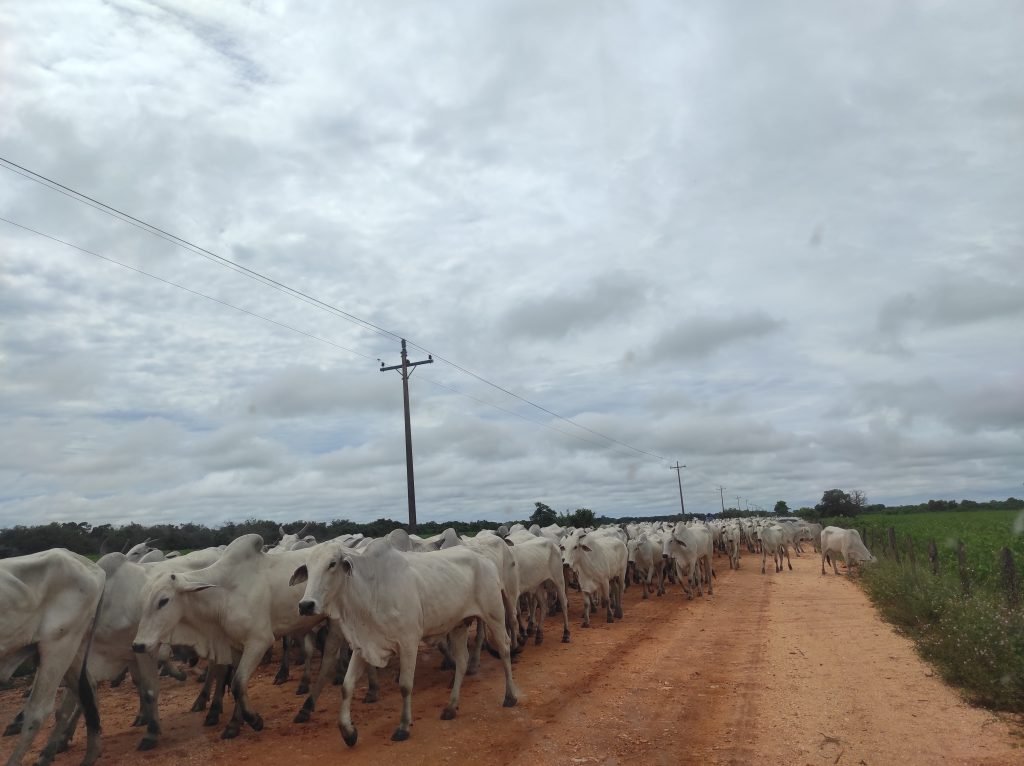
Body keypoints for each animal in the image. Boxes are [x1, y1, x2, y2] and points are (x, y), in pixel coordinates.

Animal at [290, 528, 516, 745]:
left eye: (332, 564)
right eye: (307, 568)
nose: (306, 605)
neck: (371, 590)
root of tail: (484, 558)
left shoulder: (408, 643)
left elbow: (405, 686)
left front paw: (403, 727)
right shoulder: (364, 645)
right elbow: (347, 687)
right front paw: (348, 732)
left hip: (495, 614)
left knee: (504, 647)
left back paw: (510, 696)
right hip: (459, 625)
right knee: (462, 660)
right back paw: (451, 707)